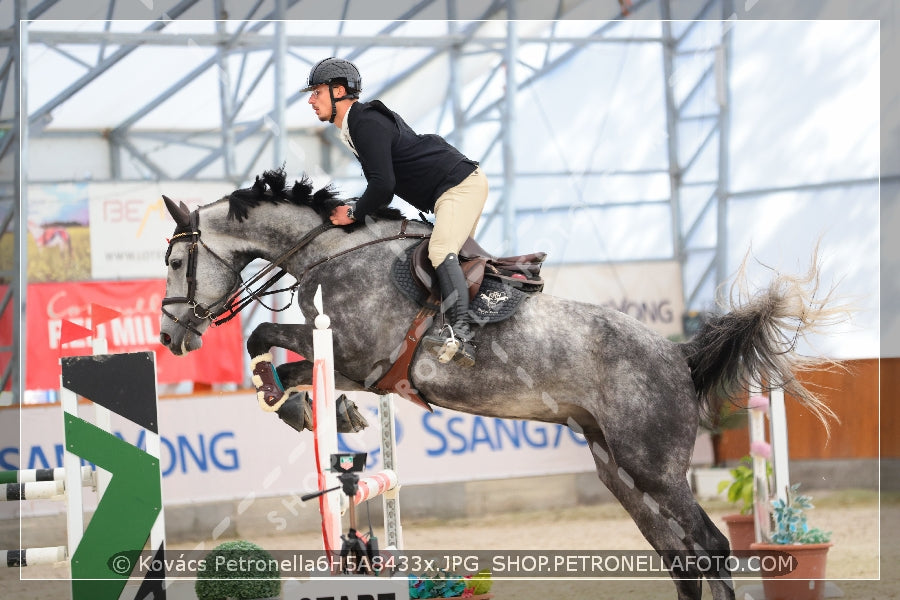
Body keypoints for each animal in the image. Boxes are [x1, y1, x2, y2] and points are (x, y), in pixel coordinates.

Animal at [160, 169, 844, 600]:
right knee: (681, 557)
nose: (170, 339)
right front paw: (320, 412)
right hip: (619, 471)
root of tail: (677, 355)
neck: (332, 252)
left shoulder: (358, 354)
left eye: (174, 261)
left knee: (710, 546)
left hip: (653, 468)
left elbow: (263, 337)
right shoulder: (354, 364)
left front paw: (307, 407)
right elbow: (281, 357)